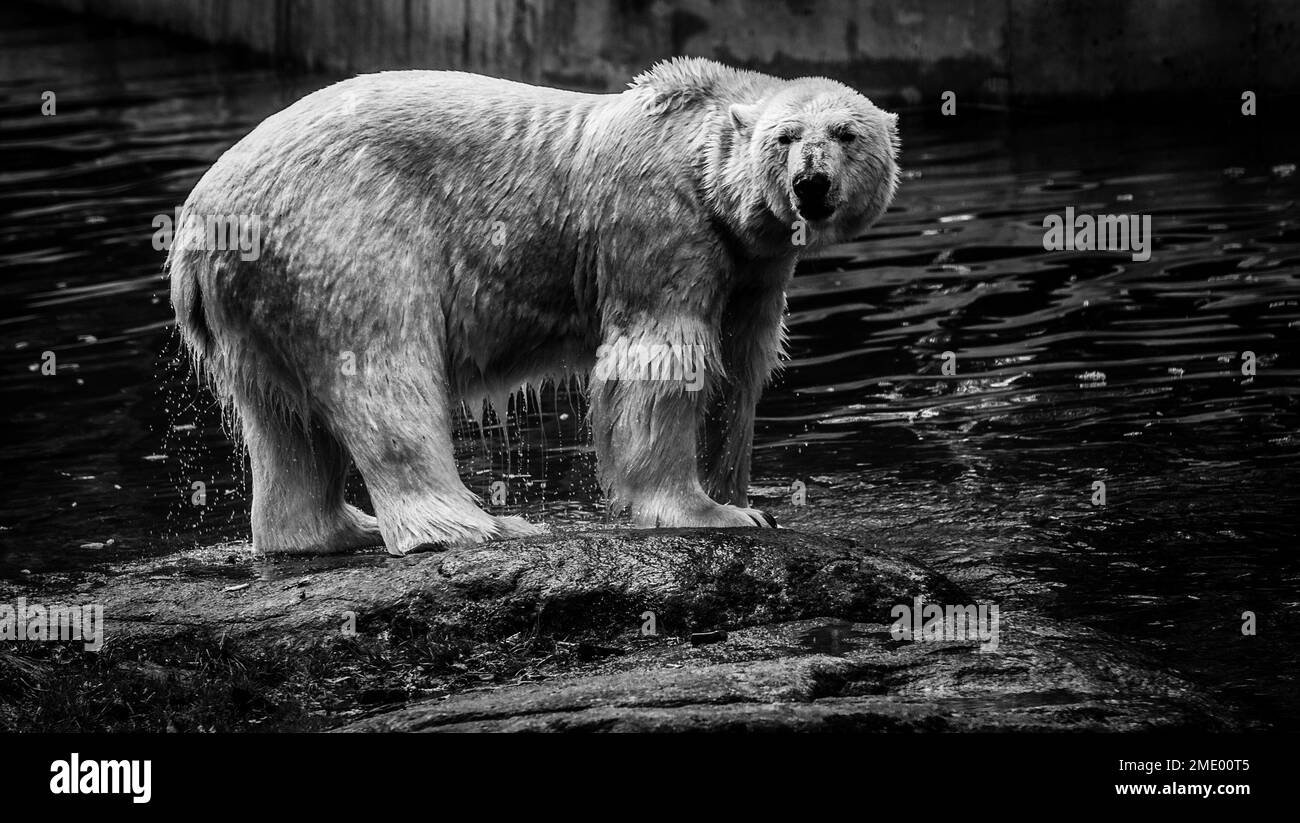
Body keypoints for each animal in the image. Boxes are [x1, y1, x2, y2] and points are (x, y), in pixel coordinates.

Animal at [167, 57, 899, 556]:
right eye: (786, 136)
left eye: (846, 133)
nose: (810, 184)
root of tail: (198, 223)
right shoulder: (660, 227)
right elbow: (659, 361)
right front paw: (709, 512)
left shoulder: (752, 268)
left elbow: (738, 370)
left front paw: (742, 498)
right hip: (343, 233)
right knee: (385, 370)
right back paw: (483, 523)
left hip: (258, 293)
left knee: (282, 419)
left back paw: (334, 527)